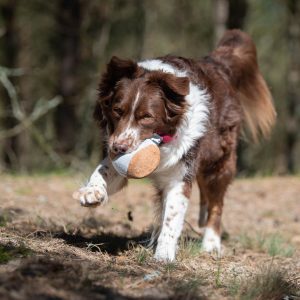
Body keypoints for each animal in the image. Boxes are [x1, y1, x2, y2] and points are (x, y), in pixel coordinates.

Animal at [74, 29, 276, 262]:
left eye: (147, 117)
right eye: (118, 110)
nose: (119, 148)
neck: (162, 140)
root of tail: (218, 64)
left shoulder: (181, 171)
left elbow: (173, 216)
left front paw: (164, 255)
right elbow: (105, 169)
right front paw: (92, 192)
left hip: (220, 160)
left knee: (217, 202)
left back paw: (211, 245)